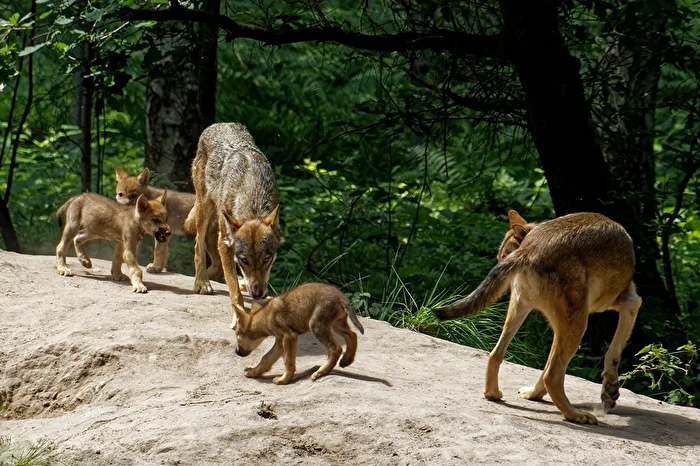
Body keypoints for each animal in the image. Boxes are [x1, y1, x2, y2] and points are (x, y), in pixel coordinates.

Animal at [231, 282, 365, 385]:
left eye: (237, 338)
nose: (236, 352)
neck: (266, 317)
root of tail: (340, 296)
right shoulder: (280, 341)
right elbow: (266, 358)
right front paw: (253, 372)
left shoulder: (289, 337)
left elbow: (288, 362)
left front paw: (283, 380)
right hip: (336, 325)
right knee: (352, 335)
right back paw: (346, 360)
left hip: (317, 327)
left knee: (336, 349)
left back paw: (320, 372)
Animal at [434, 209, 642, 425]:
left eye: (501, 257)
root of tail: (530, 248)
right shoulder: (631, 302)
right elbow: (613, 352)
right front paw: (610, 391)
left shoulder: (558, 328)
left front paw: (534, 395)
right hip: (578, 327)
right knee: (552, 375)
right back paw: (575, 415)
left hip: (524, 313)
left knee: (495, 355)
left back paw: (494, 394)